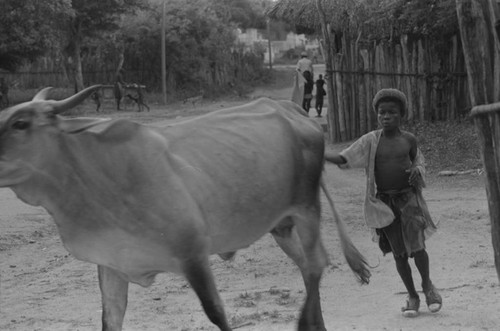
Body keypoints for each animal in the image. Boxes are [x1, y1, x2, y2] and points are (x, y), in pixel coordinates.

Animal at [0, 85, 370, 331]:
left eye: (20, 123)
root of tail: (291, 109)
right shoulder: (112, 264)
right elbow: (111, 319)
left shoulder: (192, 255)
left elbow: (217, 313)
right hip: (281, 224)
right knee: (308, 267)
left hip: (307, 209)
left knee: (316, 264)